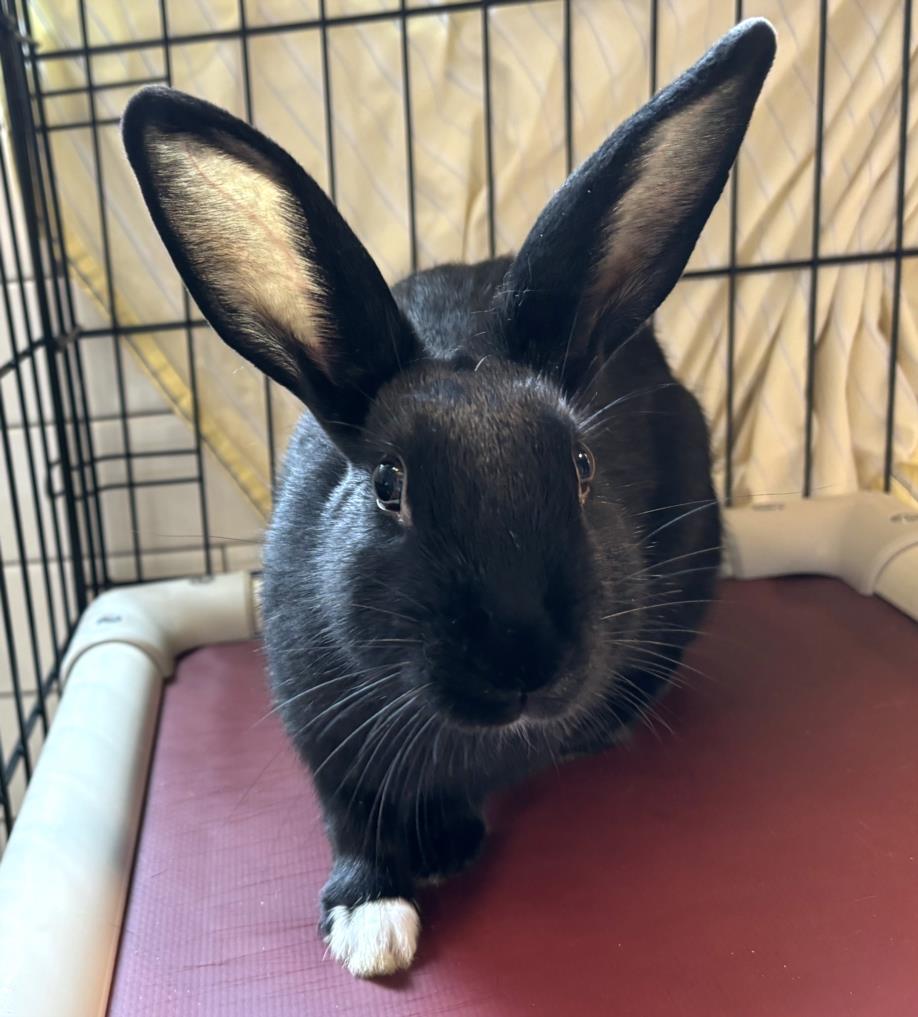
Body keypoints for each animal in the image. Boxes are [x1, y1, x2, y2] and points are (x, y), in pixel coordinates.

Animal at [124, 15, 776, 980]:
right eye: (390, 486)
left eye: (582, 467)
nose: (524, 661)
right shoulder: (322, 735)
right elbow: (351, 821)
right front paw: (371, 921)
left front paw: (442, 852)